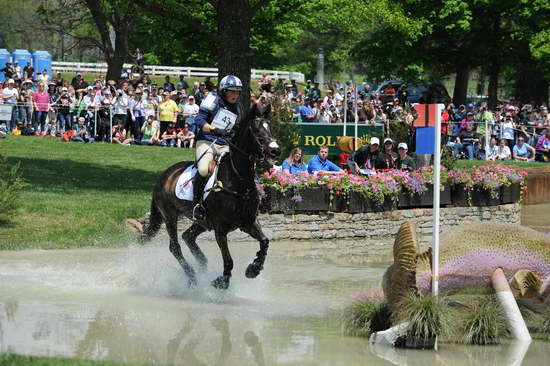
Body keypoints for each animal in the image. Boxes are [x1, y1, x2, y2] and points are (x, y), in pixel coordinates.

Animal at [141, 104, 280, 290]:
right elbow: (228, 260)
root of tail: (164, 176)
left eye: (270, 128)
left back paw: (202, 265)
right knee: (175, 247)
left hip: (202, 222)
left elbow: (265, 242)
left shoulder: (249, 222)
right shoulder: (220, 229)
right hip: (169, 215)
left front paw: (253, 269)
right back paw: (192, 276)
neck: (238, 180)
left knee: (188, 236)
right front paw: (222, 281)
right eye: (256, 130)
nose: (275, 150)